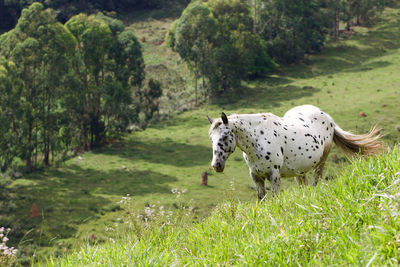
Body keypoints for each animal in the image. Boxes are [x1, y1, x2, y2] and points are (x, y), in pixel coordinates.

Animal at [208, 104, 382, 201]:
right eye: (211, 138)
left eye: (225, 135)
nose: (216, 165)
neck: (258, 139)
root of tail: (327, 117)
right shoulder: (256, 175)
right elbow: (261, 199)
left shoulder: (273, 174)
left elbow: (275, 197)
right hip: (300, 171)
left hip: (321, 161)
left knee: (316, 181)